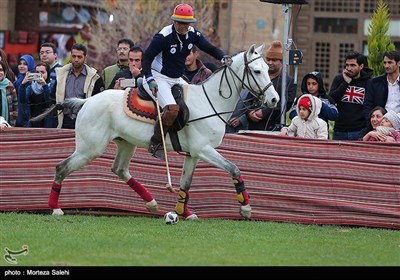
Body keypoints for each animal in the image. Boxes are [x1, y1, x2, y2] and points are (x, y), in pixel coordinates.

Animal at [47, 43, 278, 219]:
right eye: (257, 71)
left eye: (268, 69)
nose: (275, 100)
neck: (210, 102)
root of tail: (87, 101)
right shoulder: (203, 149)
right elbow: (234, 169)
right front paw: (245, 208)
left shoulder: (194, 154)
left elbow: (186, 183)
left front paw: (183, 212)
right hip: (90, 148)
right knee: (61, 167)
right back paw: (55, 208)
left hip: (125, 143)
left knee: (119, 169)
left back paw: (151, 203)